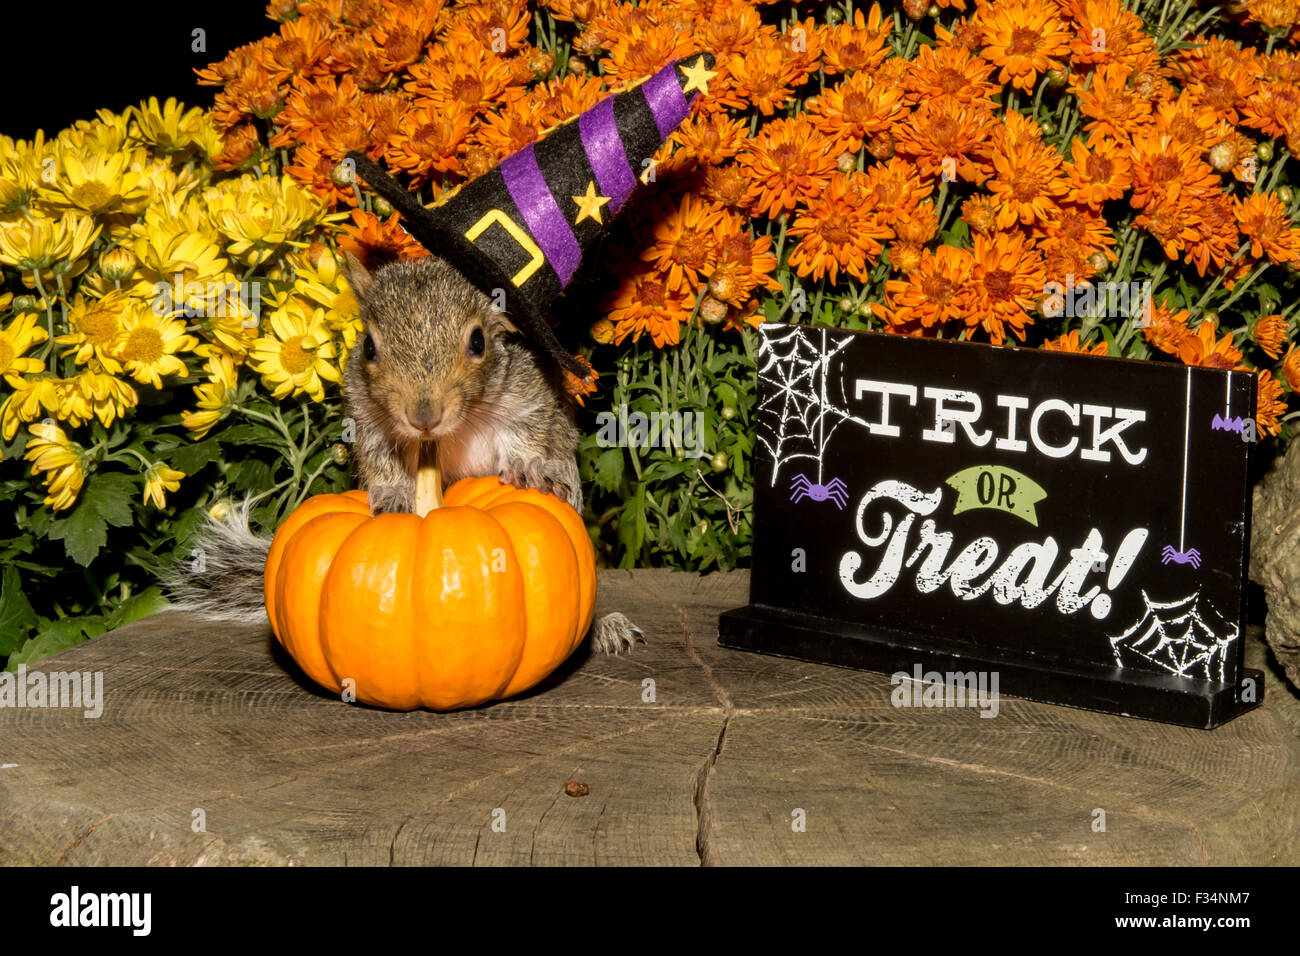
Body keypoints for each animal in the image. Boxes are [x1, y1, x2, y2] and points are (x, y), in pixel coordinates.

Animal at [162, 253, 644, 656]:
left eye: (478, 342)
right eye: (369, 348)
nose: (423, 417)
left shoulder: (527, 393)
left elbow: (530, 429)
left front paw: (528, 466)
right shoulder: (367, 416)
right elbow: (379, 458)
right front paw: (394, 493)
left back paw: (603, 628)